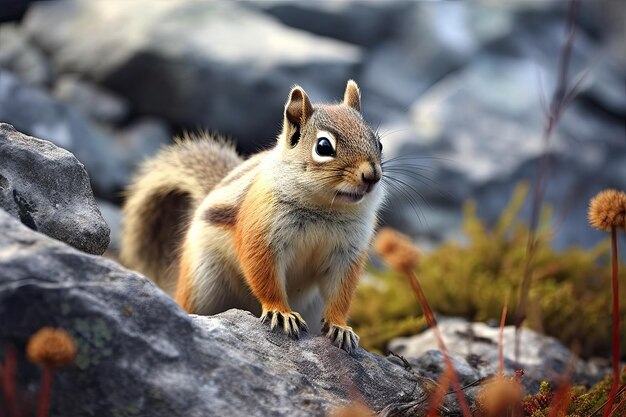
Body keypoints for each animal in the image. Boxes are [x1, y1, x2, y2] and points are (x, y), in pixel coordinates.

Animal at [120, 79, 382, 352]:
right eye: (323, 147)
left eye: (379, 143)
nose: (372, 175)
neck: (325, 208)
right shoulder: (260, 234)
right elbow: (265, 276)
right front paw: (281, 313)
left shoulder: (348, 252)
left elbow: (342, 293)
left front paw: (340, 327)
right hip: (203, 283)